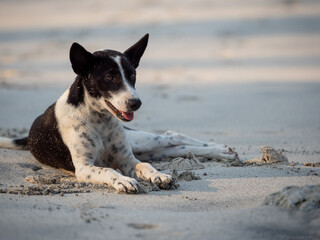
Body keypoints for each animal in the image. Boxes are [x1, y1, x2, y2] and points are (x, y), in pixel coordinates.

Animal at [0, 34, 238, 193]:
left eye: (132, 75)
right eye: (109, 77)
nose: (136, 103)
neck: (99, 121)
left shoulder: (127, 159)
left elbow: (144, 166)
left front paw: (159, 175)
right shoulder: (84, 168)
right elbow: (107, 171)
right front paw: (123, 181)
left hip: (139, 141)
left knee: (171, 136)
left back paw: (222, 150)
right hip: (145, 147)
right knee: (172, 146)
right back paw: (223, 152)